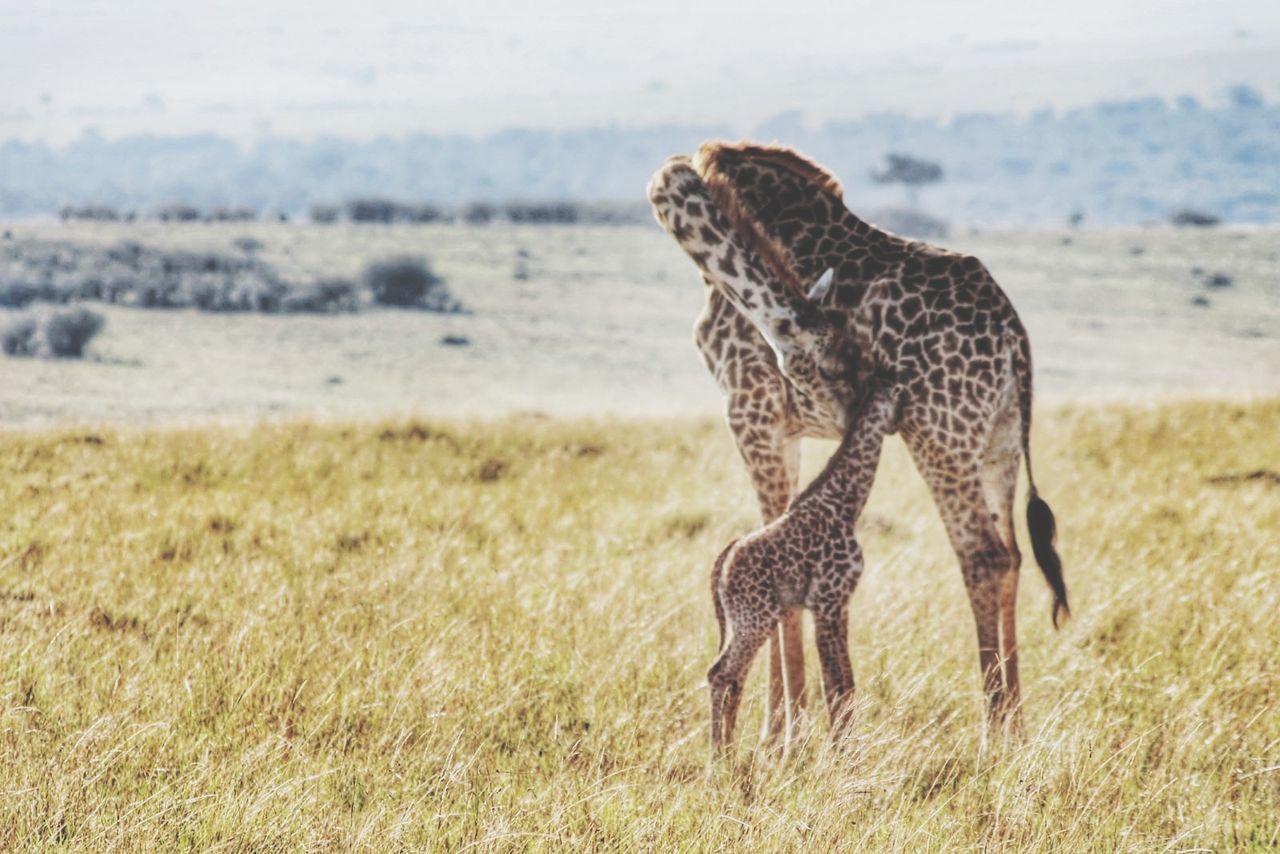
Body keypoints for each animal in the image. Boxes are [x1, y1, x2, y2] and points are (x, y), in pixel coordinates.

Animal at [711, 384, 901, 752]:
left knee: (733, 677)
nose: (901, 427)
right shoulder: (828, 601)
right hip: (755, 619)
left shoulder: (838, 604)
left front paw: (844, 750)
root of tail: (723, 563)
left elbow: (843, 682)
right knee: (721, 674)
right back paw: (718, 757)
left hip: (747, 621)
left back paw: (728, 752)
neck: (845, 504)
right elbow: (837, 684)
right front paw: (842, 754)